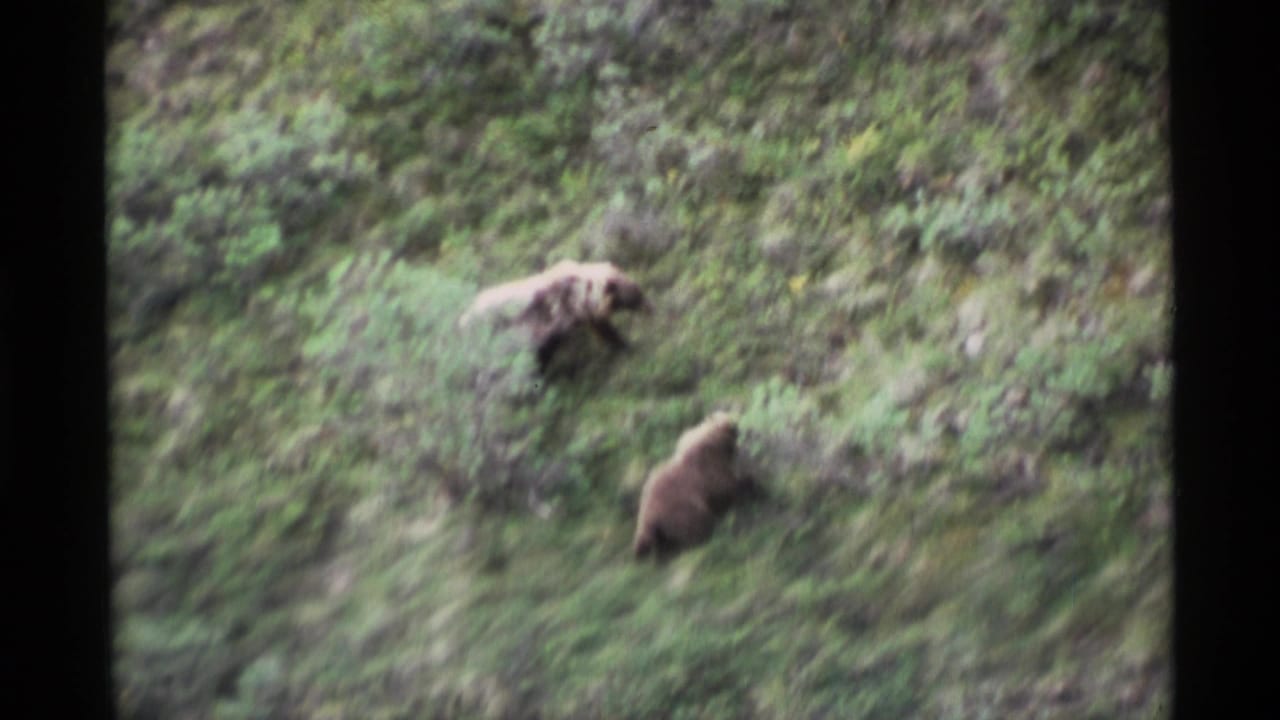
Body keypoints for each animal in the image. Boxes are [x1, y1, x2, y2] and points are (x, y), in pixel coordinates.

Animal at [459, 260, 651, 371]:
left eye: (639, 290)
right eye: (637, 295)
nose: (651, 308)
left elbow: (602, 328)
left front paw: (622, 344)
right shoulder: (548, 321)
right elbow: (541, 351)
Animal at [632, 411, 750, 560]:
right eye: (733, 428)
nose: (737, 427)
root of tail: (647, 518)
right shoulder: (709, 471)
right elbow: (725, 485)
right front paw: (748, 484)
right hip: (681, 510)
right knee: (695, 525)